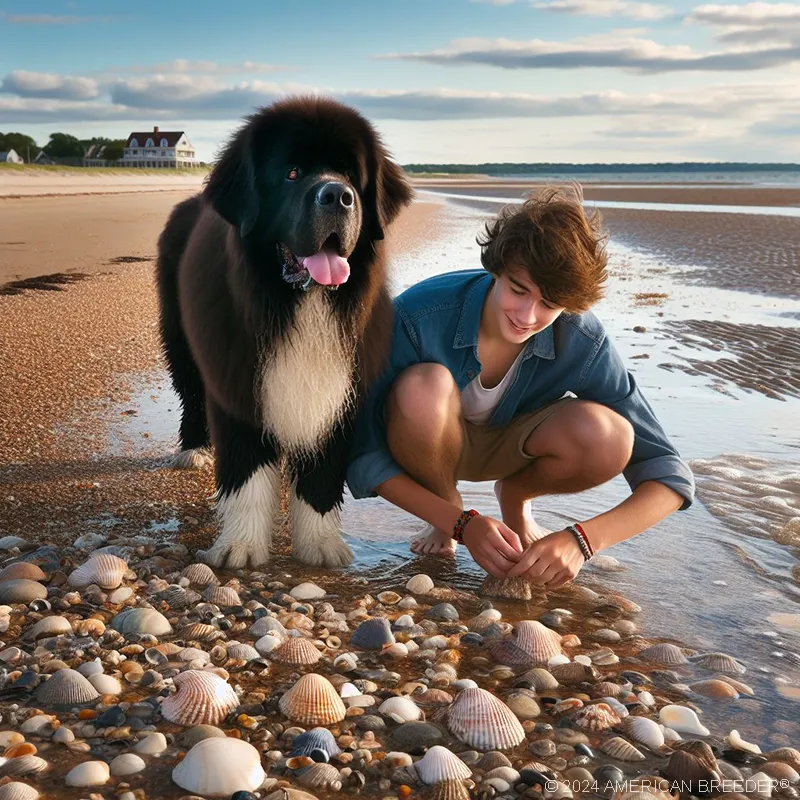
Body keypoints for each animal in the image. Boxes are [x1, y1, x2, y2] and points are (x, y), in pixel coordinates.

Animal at [159, 98, 416, 568]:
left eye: (349, 174)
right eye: (292, 173)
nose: (337, 195)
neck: (301, 304)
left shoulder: (339, 390)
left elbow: (321, 476)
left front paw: (320, 545)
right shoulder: (238, 385)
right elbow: (244, 472)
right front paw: (240, 546)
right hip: (179, 337)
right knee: (189, 390)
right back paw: (194, 449)